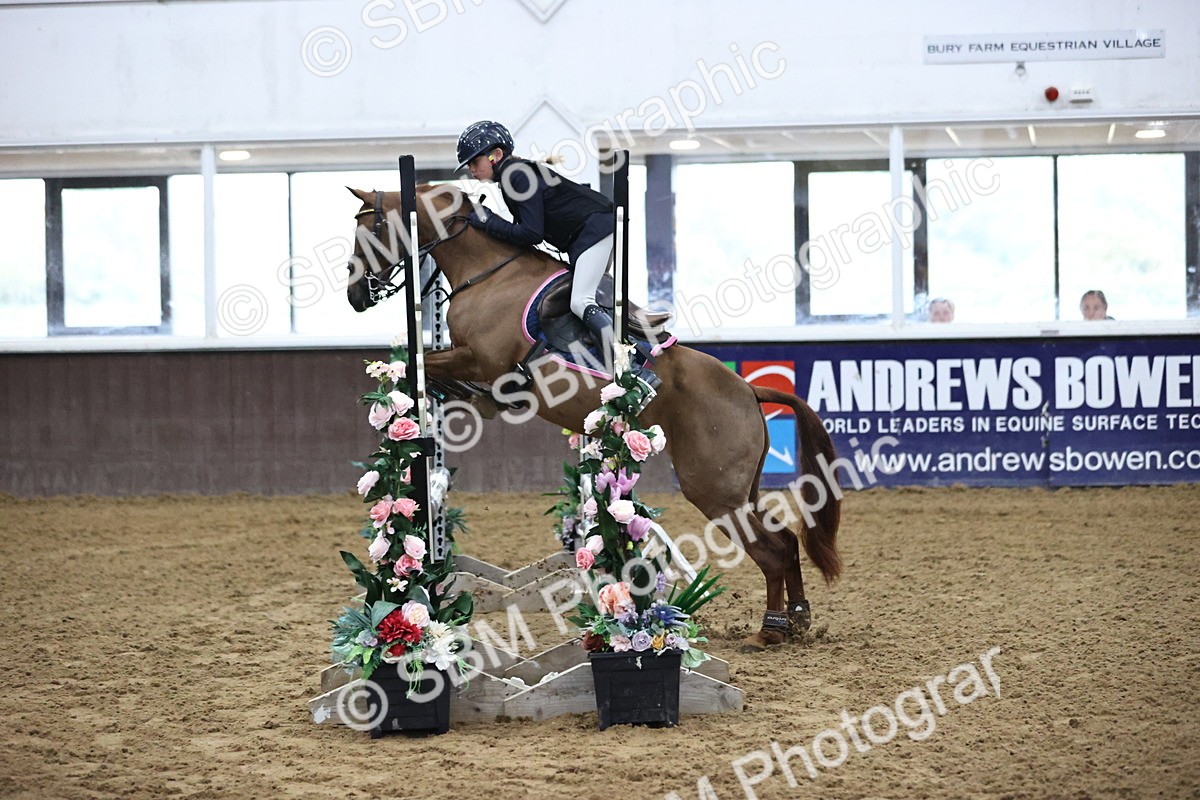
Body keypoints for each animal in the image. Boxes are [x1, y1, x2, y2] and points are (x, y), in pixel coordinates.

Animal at [344, 184, 842, 651]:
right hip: (740, 489)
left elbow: (424, 362)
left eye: (368, 231)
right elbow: (427, 366)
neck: (486, 273)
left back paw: (770, 631)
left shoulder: (483, 361)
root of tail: (748, 389)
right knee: (787, 541)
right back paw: (798, 619)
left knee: (772, 550)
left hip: (715, 490)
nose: (353, 296)